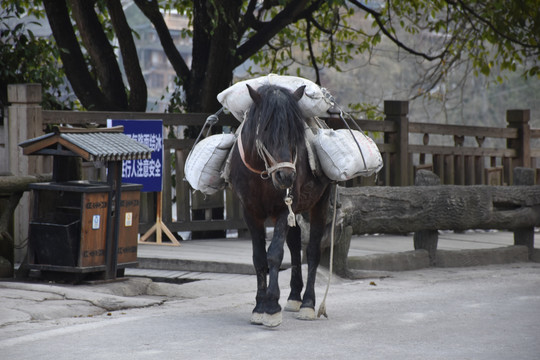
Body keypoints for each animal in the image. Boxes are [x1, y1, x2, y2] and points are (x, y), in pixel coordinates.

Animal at [227, 83, 332, 326]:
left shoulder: (284, 208)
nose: (286, 176)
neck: (261, 174)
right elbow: (259, 258)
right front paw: (259, 306)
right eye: (265, 130)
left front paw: (272, 306)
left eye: (295, 133)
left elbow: (274, 253)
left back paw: (308, 303)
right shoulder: (250, 212)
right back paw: (294, 297)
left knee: (312, 251)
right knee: (294, 244)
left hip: (320, 203)